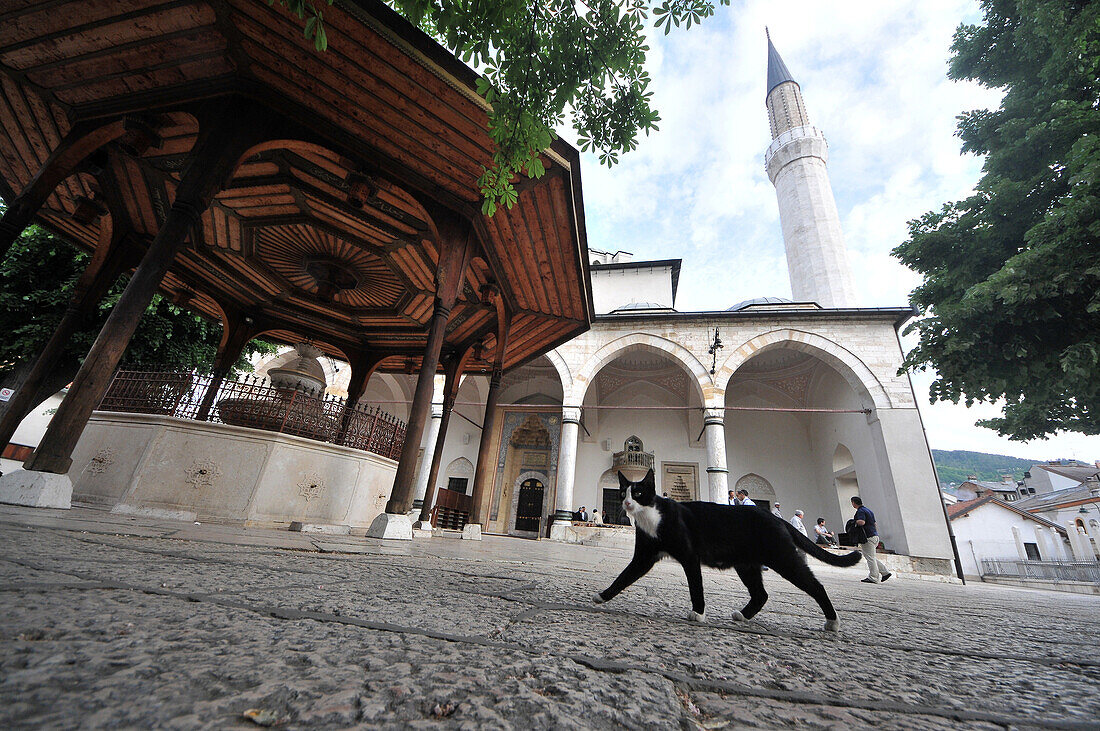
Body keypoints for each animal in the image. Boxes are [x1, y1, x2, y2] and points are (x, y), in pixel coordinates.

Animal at [594, 470, 858, 628]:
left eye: (638, 493)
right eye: (622, 492)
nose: (627, 503)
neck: (650, 517)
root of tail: (777, 519)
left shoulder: (690, 556)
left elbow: (696, 586)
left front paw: (698, 613)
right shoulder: (644, 556)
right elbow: (623, 577)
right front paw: (603, 595)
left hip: (782, 558)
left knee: (815, 585)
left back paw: (833, 622)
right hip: (746, 564)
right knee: (761, 594)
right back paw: (743, 615)